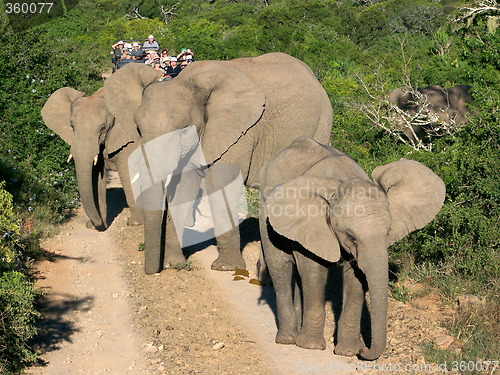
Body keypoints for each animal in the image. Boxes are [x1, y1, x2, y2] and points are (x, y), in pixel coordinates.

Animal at [42, 78, 161, 229]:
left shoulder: (129, 136)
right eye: (72, 127)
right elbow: (96, 177)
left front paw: (135, 223)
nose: (97, 224)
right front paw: (95, 225)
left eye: (103, 128)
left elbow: (126, 173)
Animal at [104, 53, 332, 274]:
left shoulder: (240, 132)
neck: (191, 82)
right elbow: (184, 188)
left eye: (184, 131)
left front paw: (225, 268)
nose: (153, 272)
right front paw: (173, 264)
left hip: (321, 124)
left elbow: (220, 185)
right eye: (139, 130)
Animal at [258, 138, 446, 362]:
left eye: (388, 232)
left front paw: (348, 352)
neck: (346, 179)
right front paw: (311, 347)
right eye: (351, 237)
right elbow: (314, 271)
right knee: (281, 266)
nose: (365, 350)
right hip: (264, 212)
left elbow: (355, 279)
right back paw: (288, 339)